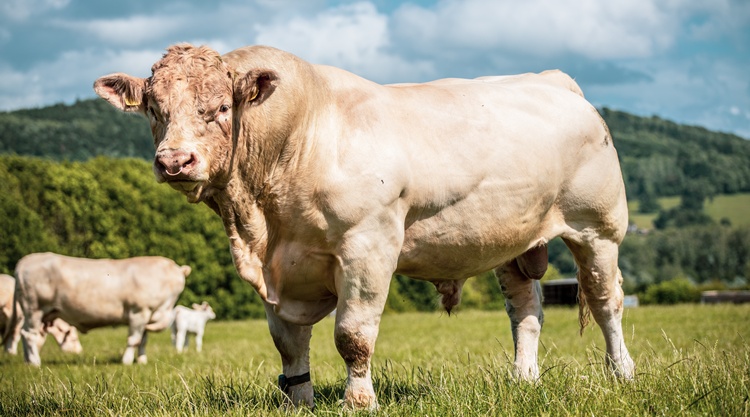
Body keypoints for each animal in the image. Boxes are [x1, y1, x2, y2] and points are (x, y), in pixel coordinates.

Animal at [12, 252, 189, 366]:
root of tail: (25, 261)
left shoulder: (148, 316)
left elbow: (143, 341)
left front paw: (142, 361)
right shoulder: (139, 312)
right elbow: (134, 340)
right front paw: (126, 362)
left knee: (25, 334)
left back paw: (28, 361)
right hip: (34, 309)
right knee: (29, 335)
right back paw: (35, 362)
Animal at [94, 44, 634, 409]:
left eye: (222, 108)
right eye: (154, 109)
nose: (174, 162)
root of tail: (552, 78)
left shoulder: (367, 247)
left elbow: (352, 334)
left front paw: (359, 401)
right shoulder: (279, 269)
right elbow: (288, 342)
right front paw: (300, 401)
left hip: (598, 228)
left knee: (606, 301)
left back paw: (621, 373)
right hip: (511, 239)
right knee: (526, 309)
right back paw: (524, 378)